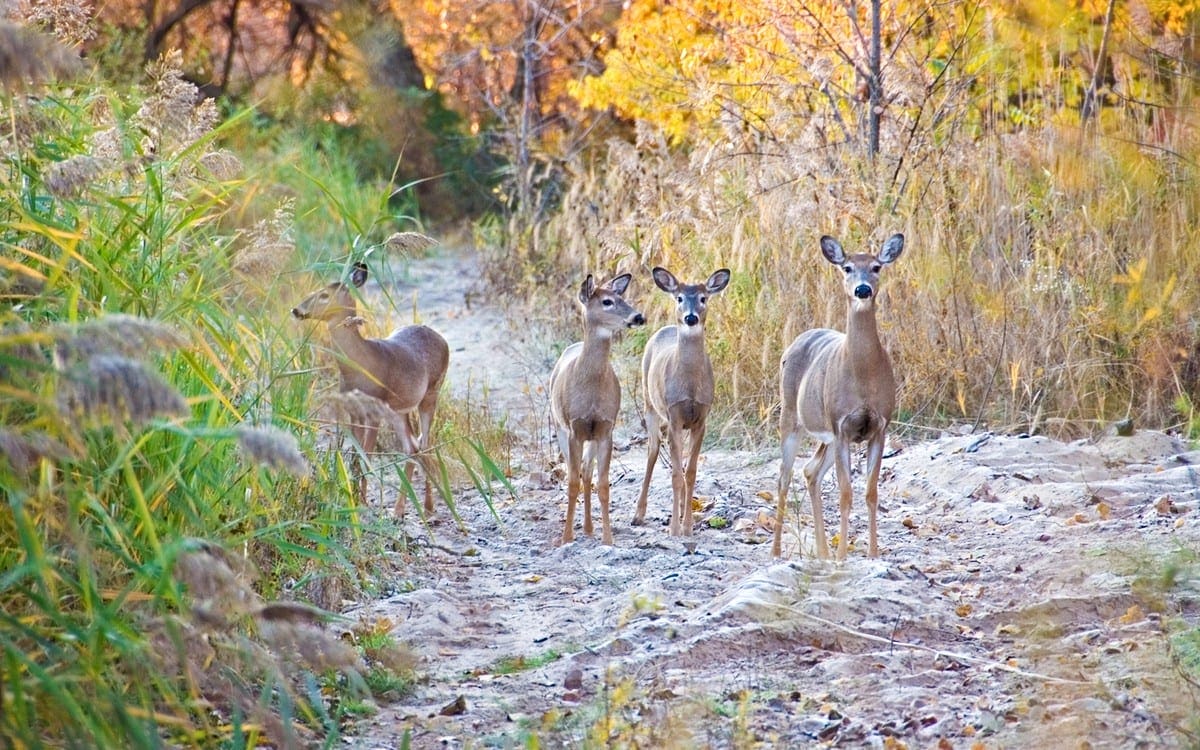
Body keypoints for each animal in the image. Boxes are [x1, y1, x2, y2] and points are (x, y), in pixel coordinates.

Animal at [292, 261, 449, 518]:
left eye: (325, 295)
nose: (296, 310)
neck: (360, 364)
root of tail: (442, 339)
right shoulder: (354, 411)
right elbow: (355, 457)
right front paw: (354, 500)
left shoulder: (374, 410)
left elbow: (366, 458)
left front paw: (363, 503)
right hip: (399, 410)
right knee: (412, 447)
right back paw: (405, 509)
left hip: (431, 393)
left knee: (425, 444)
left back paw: (422, 508)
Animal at [549, 273, 645, 545]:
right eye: (607, 302)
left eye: (622, 297)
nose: (638, 317)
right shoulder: (574, 428)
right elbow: (572, 482)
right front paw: (566, 538)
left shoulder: (604, 428)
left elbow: (603, 484)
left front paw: (608, 539)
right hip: (560, 427)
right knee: (577, 472)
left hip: (590, 437)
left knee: (587, 471)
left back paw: (590, 529)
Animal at [633, 267, 731, 537]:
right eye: (679, 298)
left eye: (703, 298)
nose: (690, 318)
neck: (689, 387)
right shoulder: (674, 415)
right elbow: (677, 474)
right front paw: (675, 529)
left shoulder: (701, 418)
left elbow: (691, 472)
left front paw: (688, 526)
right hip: (650, 404)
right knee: (652, 451)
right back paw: (638, 515)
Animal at [774, 233, 904, 561]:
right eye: (847, 267)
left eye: (876, 267)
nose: (862, 289)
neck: (863, 374)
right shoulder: (841, 425)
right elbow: (845, 493)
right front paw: (844, 555)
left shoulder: (879, 427)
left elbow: (871, 492)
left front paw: (872, 554)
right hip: (791, 417)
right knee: (784, 477)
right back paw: (777, 551)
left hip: (827, 437)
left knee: (810, 472)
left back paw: (822, 552)